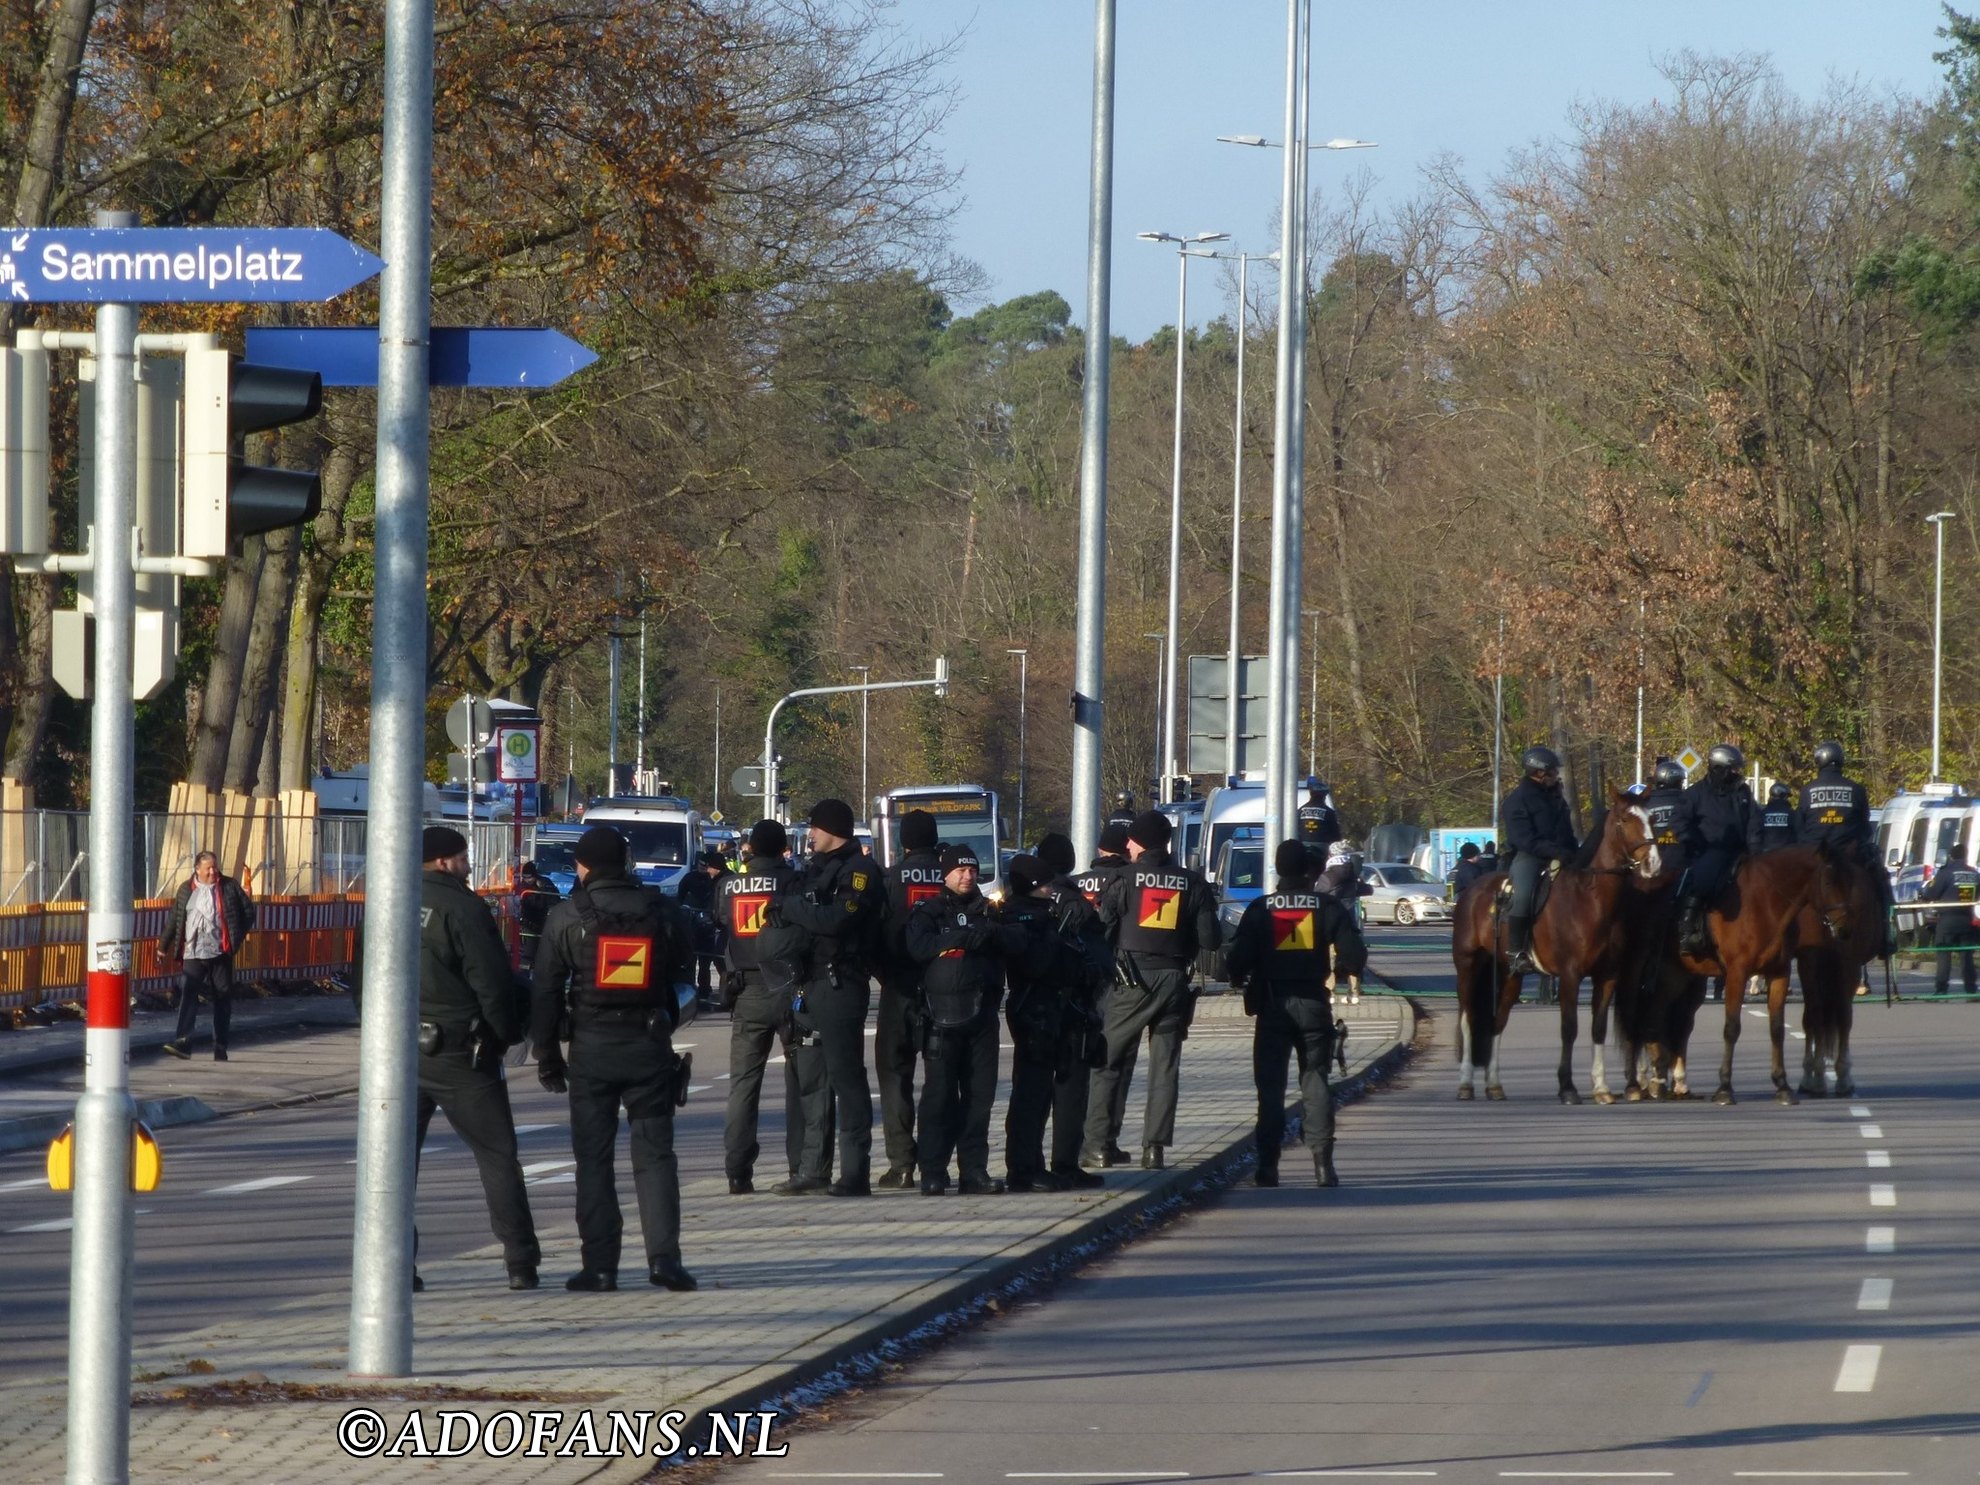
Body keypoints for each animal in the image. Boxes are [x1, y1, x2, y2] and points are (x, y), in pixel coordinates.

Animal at [1449, 792, 1663, 1108]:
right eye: (1625, 820)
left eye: (1651, 818)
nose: (1653, 863)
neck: (1590, 900)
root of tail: (1472, 891)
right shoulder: (1570, 976)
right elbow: (1569, 1028)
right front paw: (1567, 1087)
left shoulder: (1607, 976)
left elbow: (1597, 1028)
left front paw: (1601, 1087)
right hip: (1468, 968)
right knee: (1467, 1019)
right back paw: (1465, 1084)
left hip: (1510, 975)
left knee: (1498, 1022)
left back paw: (1494, 1085)